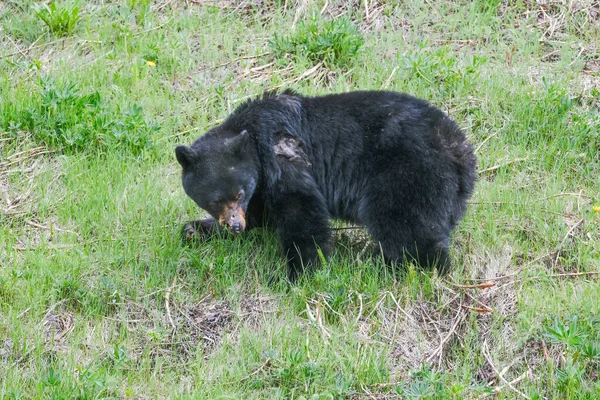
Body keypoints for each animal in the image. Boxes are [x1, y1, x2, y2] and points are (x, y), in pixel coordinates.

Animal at [176, 89, 476, 282]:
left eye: (238, 194)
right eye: (214, 201)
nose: (236, 226)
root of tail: (460, 150)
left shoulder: (279, 155)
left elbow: (301, 209)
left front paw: (297, 274)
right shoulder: (260, 186)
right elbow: (263, 213)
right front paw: (197, 228)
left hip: (409, 174)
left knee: (407, 226)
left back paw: (411, 271)